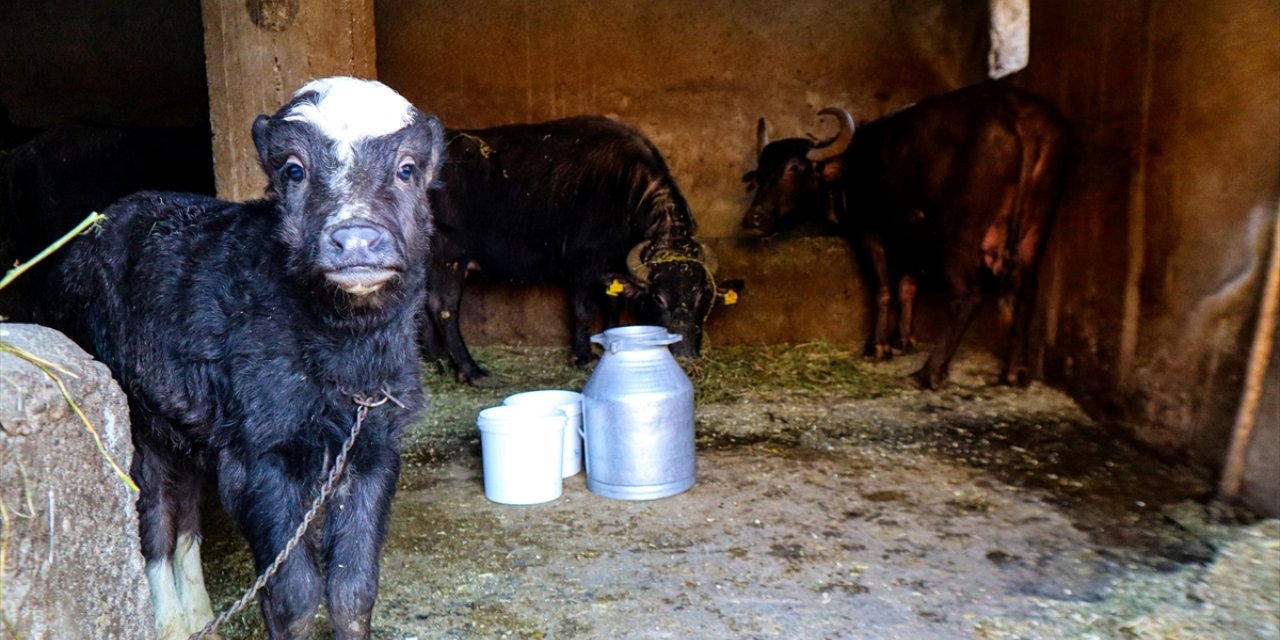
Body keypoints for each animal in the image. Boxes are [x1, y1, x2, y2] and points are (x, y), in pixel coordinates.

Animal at [422, 115, 742, 381]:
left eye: (703, 297)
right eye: (659, 299)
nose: (686, 356)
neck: (625, 190)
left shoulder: (613, 267)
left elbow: (614, 304)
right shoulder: (584, 267)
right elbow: (583, 310)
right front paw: (583, 356)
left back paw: (437, 361)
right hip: (448, 256)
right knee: (443, 307)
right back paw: (471, 371)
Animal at [742, 81, 1070, 386]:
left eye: (794, 167)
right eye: (760, 173)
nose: (753, 218)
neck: (854, 166)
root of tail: (1020, 118)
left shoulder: (870, 231)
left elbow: (884, 288)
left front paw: (878, 346)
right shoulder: (911, 237)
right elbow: (907, 284)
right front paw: (904, 339)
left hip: (957, 238)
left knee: (967, 296)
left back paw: (930, 371)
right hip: (1035, 228)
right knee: (1026, 288)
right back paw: (1015, 370)